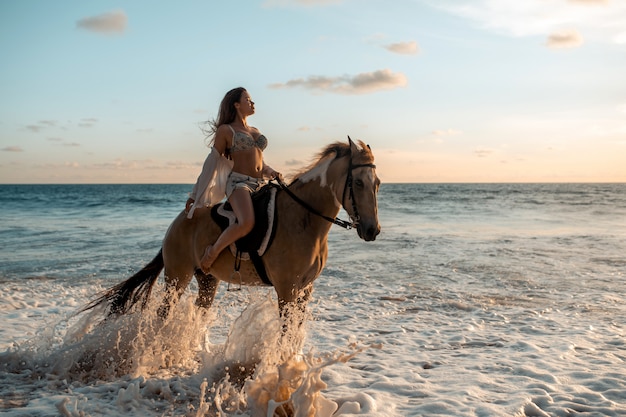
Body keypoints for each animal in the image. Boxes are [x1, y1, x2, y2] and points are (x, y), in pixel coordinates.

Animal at [81, 138, 378, 326]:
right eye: (358, 183)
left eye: (377, 182)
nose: (372, 230)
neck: (304, 218)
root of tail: (180, 220)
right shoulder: (287, 290)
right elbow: (285, 335)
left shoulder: (305, 290)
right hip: (177, 277)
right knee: (164, 313)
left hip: (207, 280)